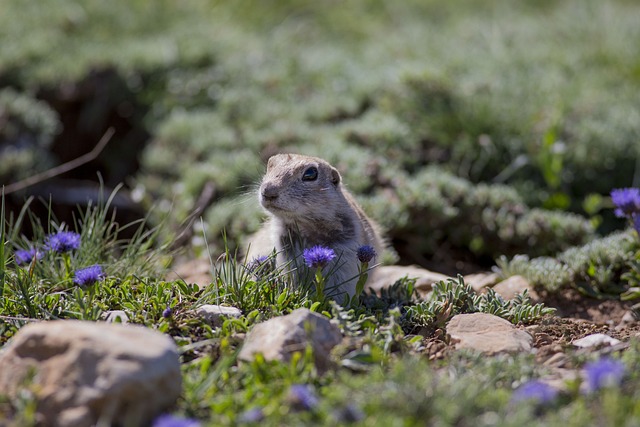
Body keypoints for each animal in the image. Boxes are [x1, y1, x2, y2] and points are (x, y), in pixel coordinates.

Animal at [246, 153, 384, 300]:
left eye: (310, 173)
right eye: (270, 164)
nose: (267, 191)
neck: (305, 225)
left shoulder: (346, 256)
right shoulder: (286, 252)